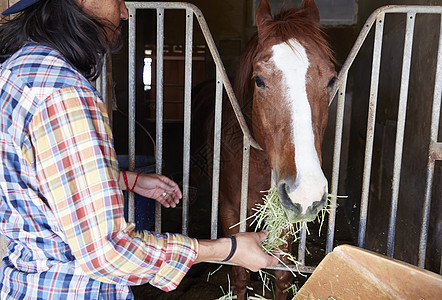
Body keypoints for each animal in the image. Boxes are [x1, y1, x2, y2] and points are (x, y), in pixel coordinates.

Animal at [192, 0, 336, 298]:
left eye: (330, 80)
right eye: (259, 80)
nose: (307, 191)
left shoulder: (287, 214)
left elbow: (282, 275)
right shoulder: (230, 211)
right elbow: (239, 274)